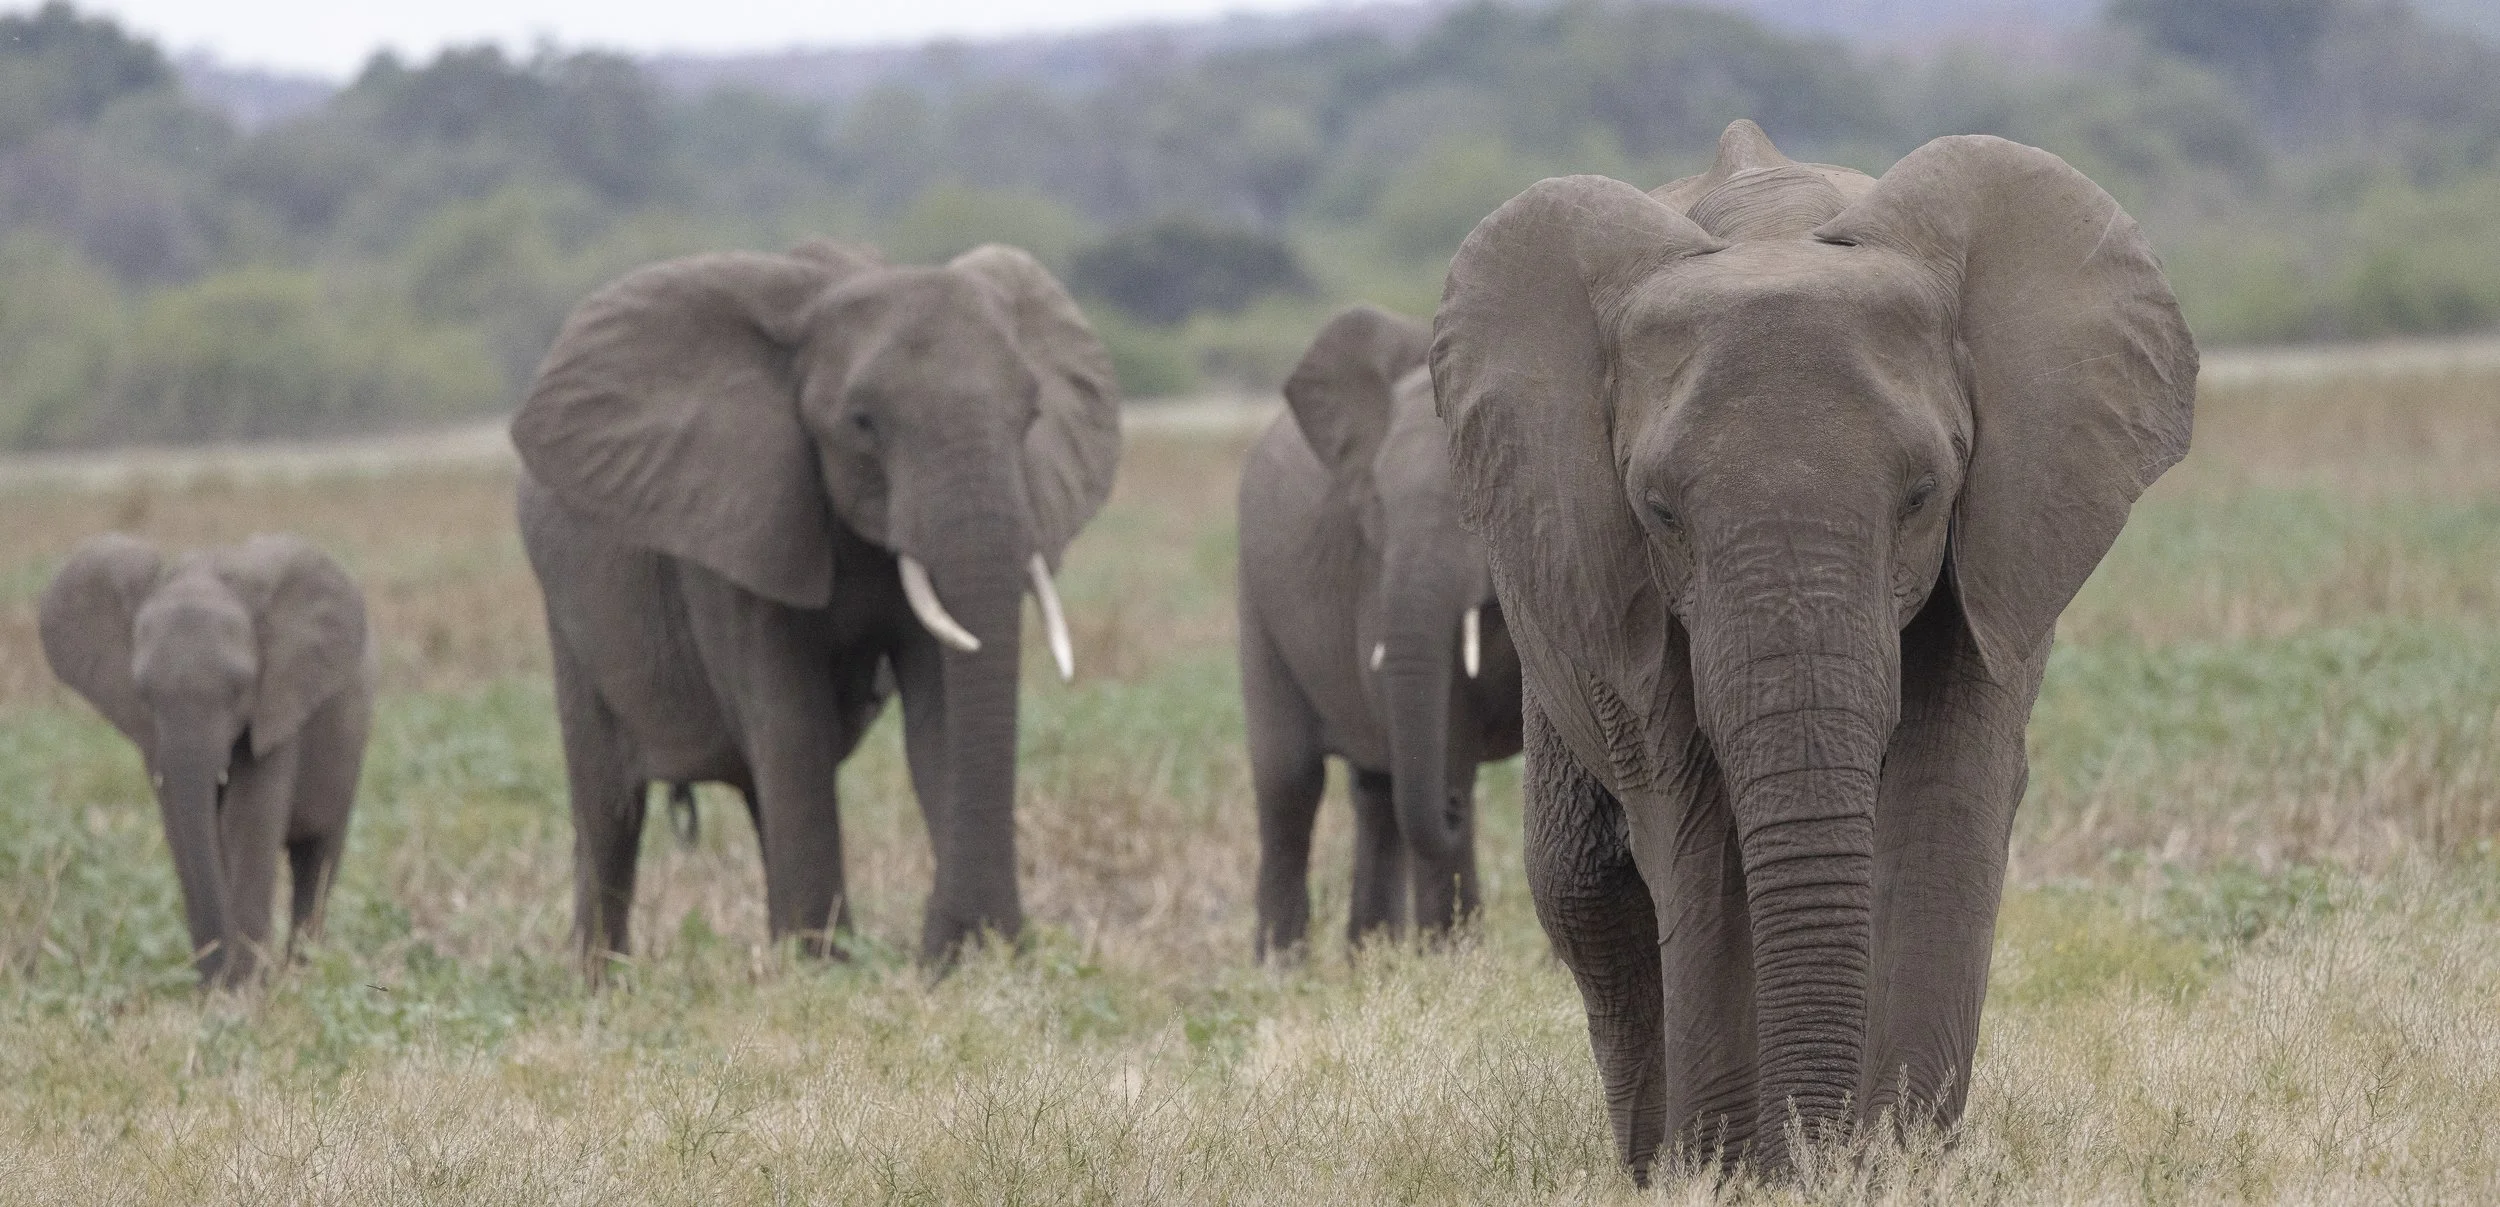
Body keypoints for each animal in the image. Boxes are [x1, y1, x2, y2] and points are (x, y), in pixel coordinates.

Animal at [39, 533, 372, 987]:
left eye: (240, 688)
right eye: (143, 691)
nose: (218, 972)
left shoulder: (277, 705)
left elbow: (245, 822)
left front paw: (243, 992)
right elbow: (182, 826)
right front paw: (220, 990)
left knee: (317, 859)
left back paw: (304, 977)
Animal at [511, 238, 1120, 969]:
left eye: (1031, 416)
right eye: (862, 423)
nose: (978, 940)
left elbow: (940, 716)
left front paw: (964, 963)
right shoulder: (737, 523)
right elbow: (791, 722)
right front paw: (831, 971)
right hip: (566, 615)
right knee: (609, 810)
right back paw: (604, 980)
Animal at [1236, 304, 1522, 957]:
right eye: (1378, 508)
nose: (1451, 808)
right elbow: (1446, 732)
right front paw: (1454, 963)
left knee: (1376, 793)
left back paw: (1372, 959)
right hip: (1256, 601)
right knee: (1291, 783)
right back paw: (1279, 969)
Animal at [1430, 121, 2196, 1176]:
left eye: (1921, 494)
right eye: (1658, 511)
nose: (1814, 1152)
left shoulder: (1997, 537)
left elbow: (1945, 800)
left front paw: (1895, 1160)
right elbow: (1696, 827)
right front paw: (1726, 1170)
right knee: (1584, 890)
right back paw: (1651, 1159)